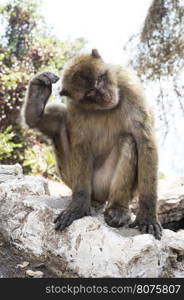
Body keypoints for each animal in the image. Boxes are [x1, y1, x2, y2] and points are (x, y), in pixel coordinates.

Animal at [23, 49, 162, 241]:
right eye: (90, 92)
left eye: (100, 79)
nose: (105, 95)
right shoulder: (75, 105)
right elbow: (81, 145)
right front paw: (78, 207)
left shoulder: (129, 85)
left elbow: (145, 142)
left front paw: (147, 216)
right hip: (76, 180)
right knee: (60, 118)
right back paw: (35, 106)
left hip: (104, 184)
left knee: (127, 140)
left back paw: (118, 208)